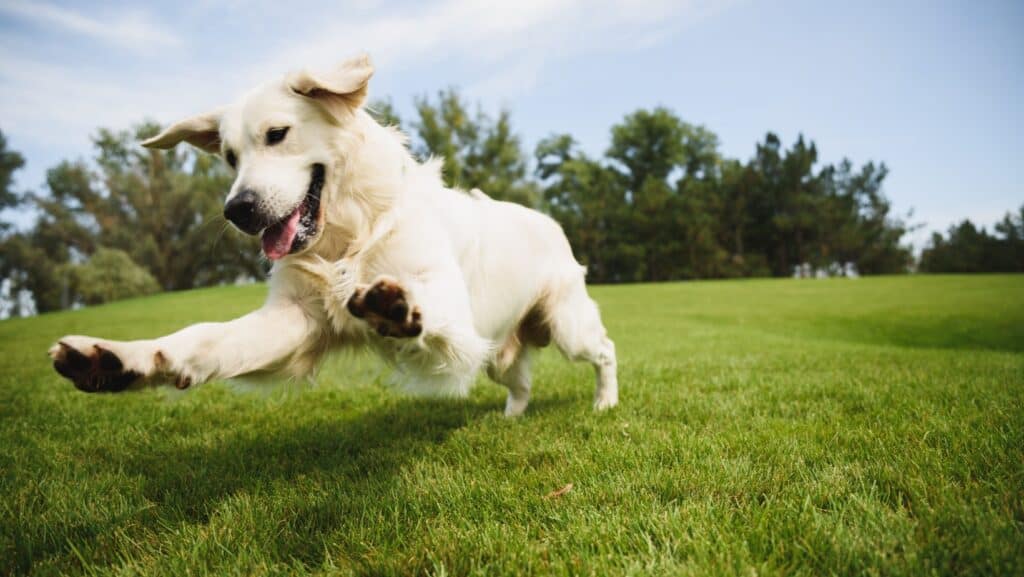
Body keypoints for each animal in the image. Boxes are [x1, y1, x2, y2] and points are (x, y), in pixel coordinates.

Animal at [46, 55, 614, 416]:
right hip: (500, 350)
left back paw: (605, 403)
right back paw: (512, 416)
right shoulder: (295, 319)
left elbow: (425, 306)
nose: (237, 210)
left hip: (567, 326)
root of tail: (549, 221)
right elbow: (203, 339)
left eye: (277, 134)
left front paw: (395, 308)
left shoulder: (451, 311)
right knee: (520, 381)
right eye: (229, 157)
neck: (349, 236)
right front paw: (119, 360)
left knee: (605, 349)